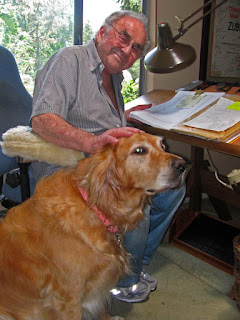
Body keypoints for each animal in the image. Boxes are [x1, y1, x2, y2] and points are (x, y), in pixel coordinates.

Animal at [0, 131, 187, 318]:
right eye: (139, 150)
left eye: (162, 146)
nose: (183, 165)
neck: (94, 207)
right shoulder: (67, 299)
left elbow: (101, 309)